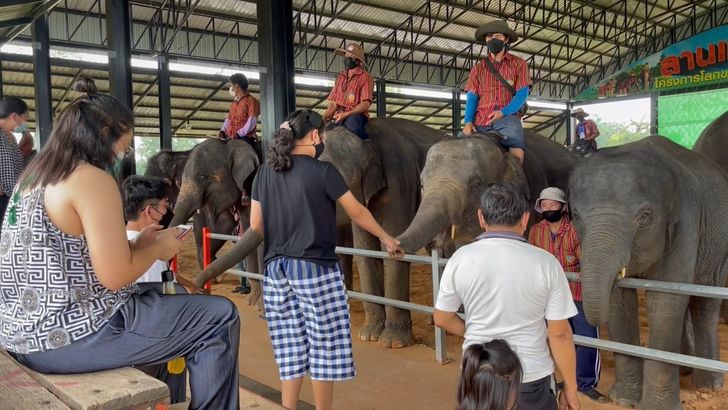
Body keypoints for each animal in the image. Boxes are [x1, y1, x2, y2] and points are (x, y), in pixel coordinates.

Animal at [568, 136, 728, 408]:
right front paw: (623, 400)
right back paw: (684, 369)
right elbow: (619, 301)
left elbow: (664, 301)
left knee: (704, 302)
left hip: (718, 250)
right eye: (576, 215)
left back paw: (709, 384)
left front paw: (655, 406)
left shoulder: (687, 222)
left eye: (644, 217)